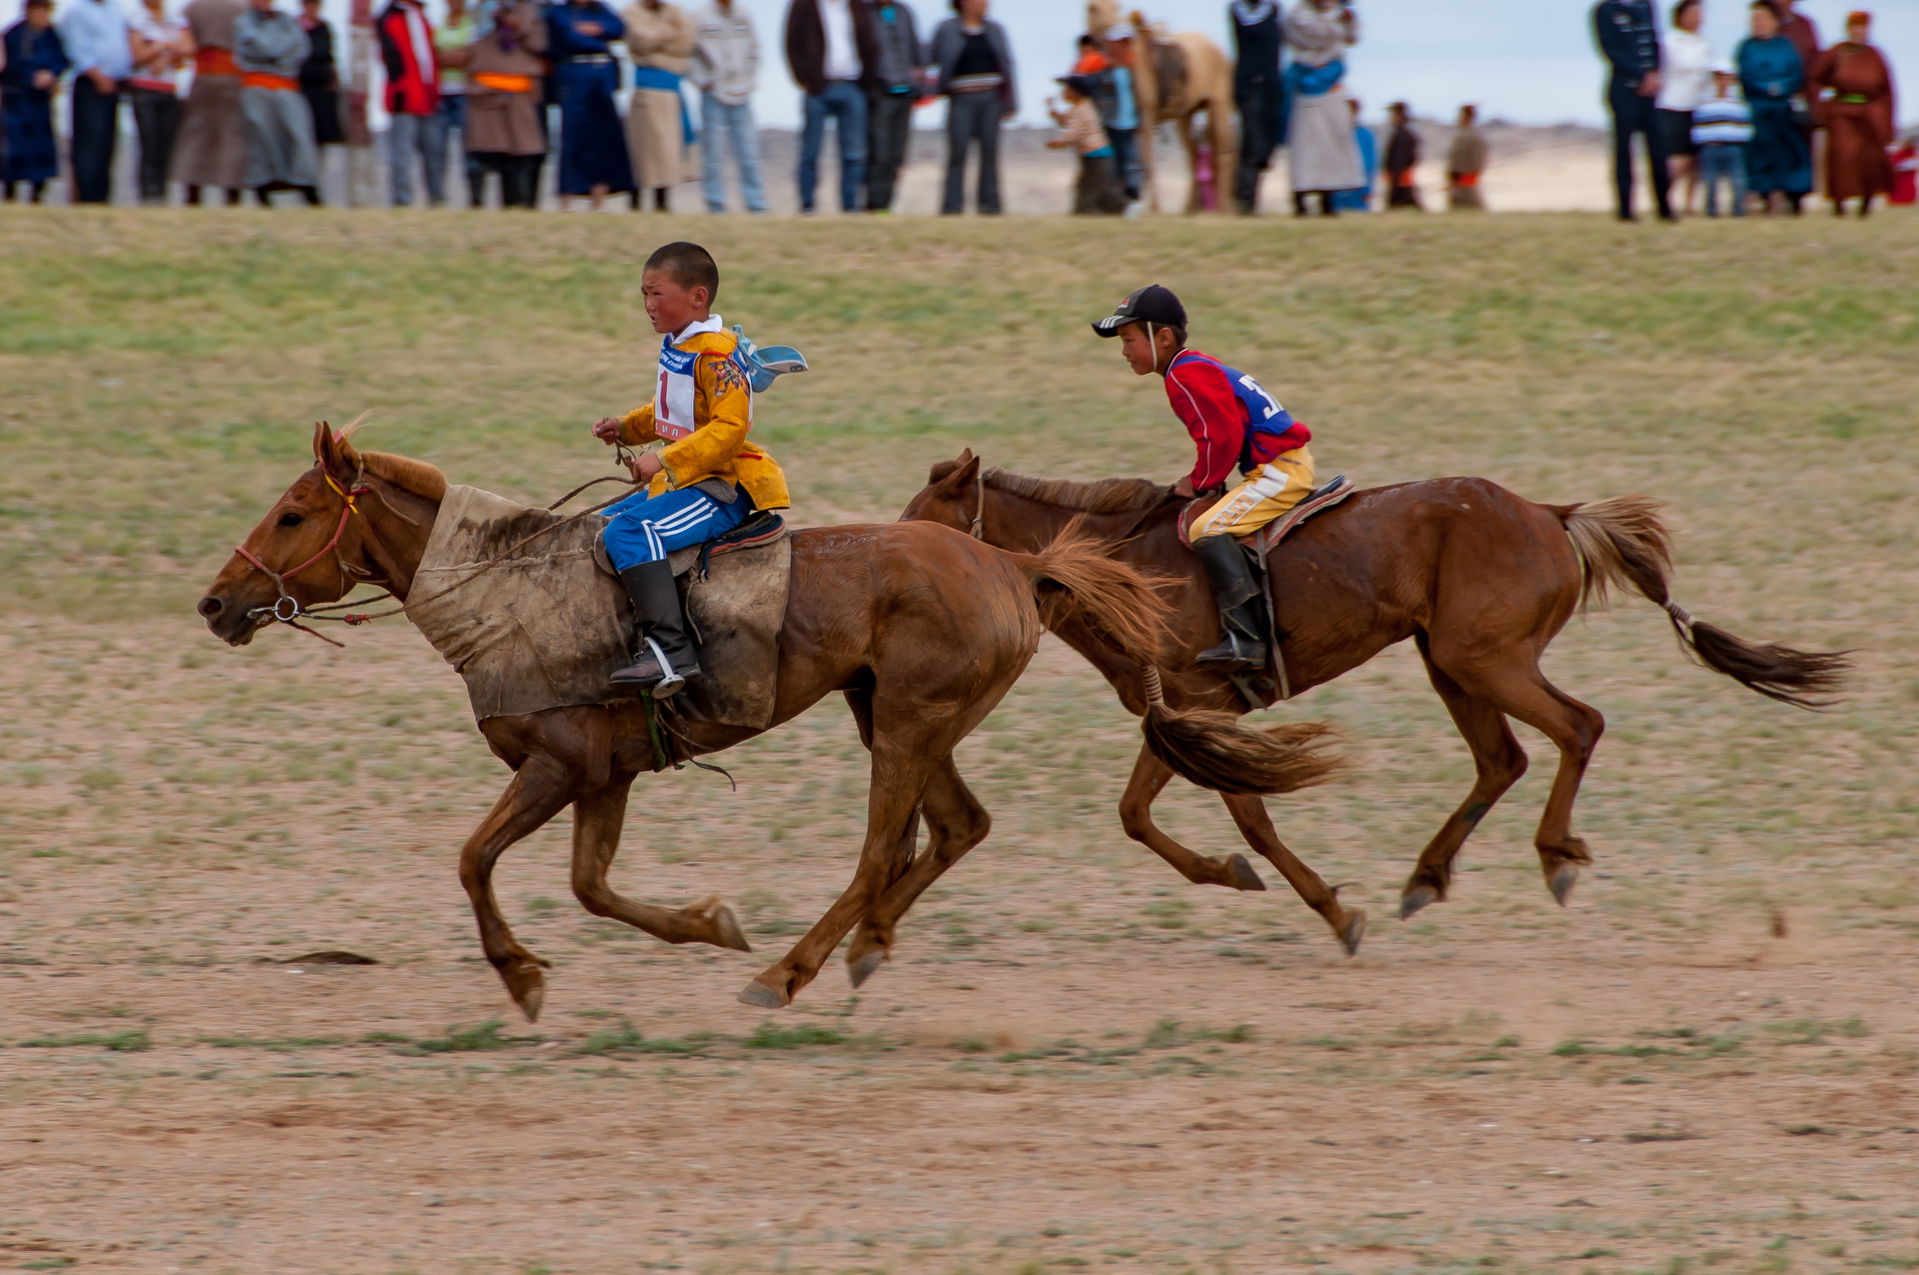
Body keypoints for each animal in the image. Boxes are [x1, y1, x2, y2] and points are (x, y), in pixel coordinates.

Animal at [197, 424, 1346, 1019]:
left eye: (293, 513)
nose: (216, 602)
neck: (513, 594)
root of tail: (1012, 563)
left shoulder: (556, 770)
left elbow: (477, 860)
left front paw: (522, 976)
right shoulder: (603, 777)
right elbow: (591, 885)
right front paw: (705, 922)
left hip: (907, 722)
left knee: (884, 847)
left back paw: (788, 972)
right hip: (893, 715)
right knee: (952, 829)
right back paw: (856, 951)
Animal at [901, 451, 1848, 951]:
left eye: (926, 520)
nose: (896, 563)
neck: (1122, 565)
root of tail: (1549, 513)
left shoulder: (1205, 709)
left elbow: (1241, 817)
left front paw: (1329, 907)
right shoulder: (1176, 717)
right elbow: (1142, 815)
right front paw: (1244, 879)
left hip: (1485, 659)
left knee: (1577, 726)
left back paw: (1554, 857)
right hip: (1453, 666)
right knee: (1501, 759)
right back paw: (1426, 876)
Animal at [1087, 0, 1237, 213]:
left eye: (1117, 7)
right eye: (1093, 7)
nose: (1110, 28)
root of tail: (1221, 53)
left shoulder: (1146, 117)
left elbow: (1146, 160)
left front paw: (1153, 208)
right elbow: (1126, 160)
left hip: (1218, 104)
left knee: (1223, 153)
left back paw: (1222, 209)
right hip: (1187, 114)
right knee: (1194, 154)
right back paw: (1188, 210)